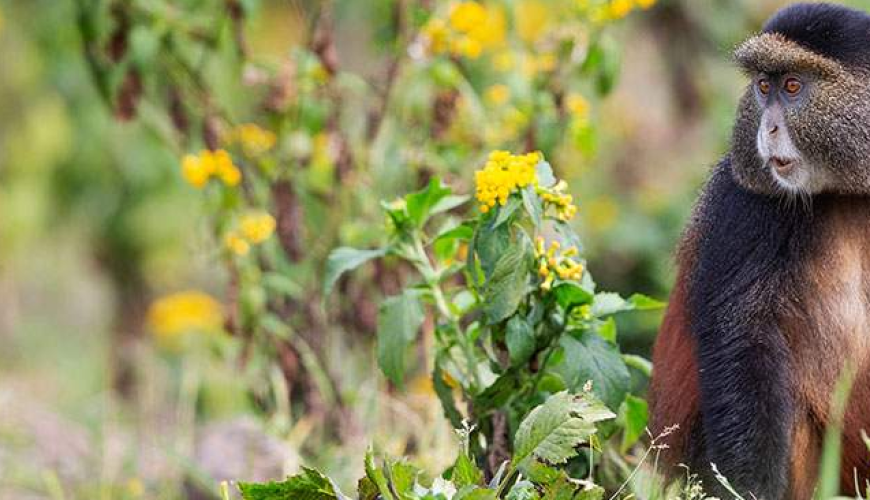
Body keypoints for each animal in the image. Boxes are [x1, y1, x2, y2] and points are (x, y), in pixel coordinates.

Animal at [649, 3, 870, 499]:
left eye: (792, 87)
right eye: (763, 87)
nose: (767, 129)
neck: (847, 192)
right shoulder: (746, 204)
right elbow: (742, 336)